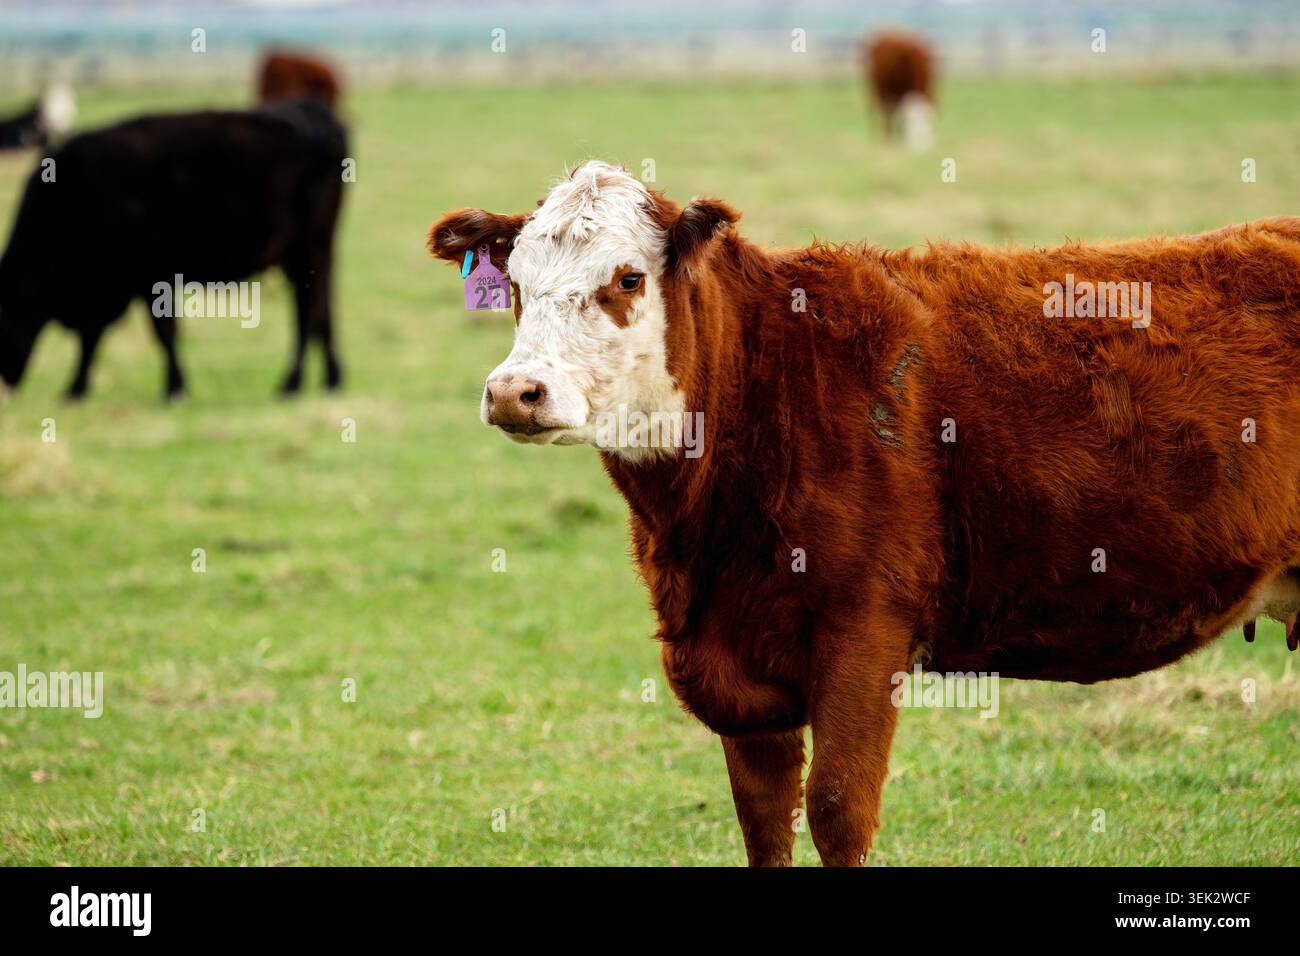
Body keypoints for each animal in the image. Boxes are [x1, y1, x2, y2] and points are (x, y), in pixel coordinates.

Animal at [0, 98, 347, 400]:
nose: (6, 383)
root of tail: (313, 112)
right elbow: (94, 338)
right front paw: (76, 389)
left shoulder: (147, 279)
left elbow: (159, 332)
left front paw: (174, 388)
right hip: (314, 255)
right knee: (323, 312)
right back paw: (331, 379)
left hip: (306, 253)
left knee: (307, 316)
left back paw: (292, 384)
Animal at [427, 161, 1300, 866]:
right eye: (514, 281)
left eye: (629, 278)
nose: (515, 391)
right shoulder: (740, 680)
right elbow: (766, 826)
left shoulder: (864, 635)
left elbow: (839, 812)